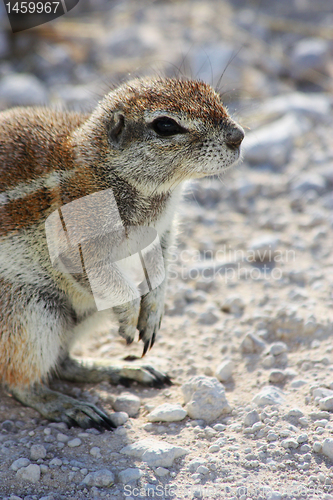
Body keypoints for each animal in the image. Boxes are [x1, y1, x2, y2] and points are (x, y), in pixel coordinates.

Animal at [0, 76, 244, 428]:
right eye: (166, 126)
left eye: (214, 95)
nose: (239, 137)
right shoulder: (76, 240)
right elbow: (107, 280)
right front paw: (131, 318)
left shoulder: (162, 231)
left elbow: (161, 266)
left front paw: (153, 314)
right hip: (30, 314)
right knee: (23, 382)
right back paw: (70, 406)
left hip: (82, 315)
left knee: (65, 363)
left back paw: (124, 369)